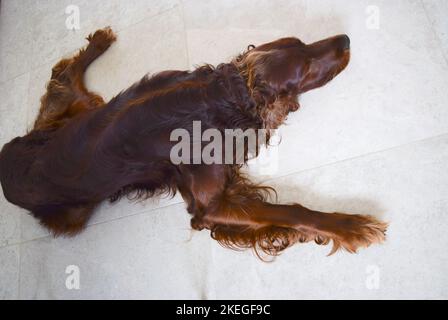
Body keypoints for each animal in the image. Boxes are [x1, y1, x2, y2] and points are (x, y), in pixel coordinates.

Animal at [0, 26, 384, 258]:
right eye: (303, 69)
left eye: (302, 43)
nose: (346, 39)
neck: (217, 99)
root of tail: (5, 161)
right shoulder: (208, 207)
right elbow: (291, 210)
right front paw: (350, 226)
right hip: (75, 211)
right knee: (59, 74)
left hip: (83, 110)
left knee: (61, 77)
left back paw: (98, 41)